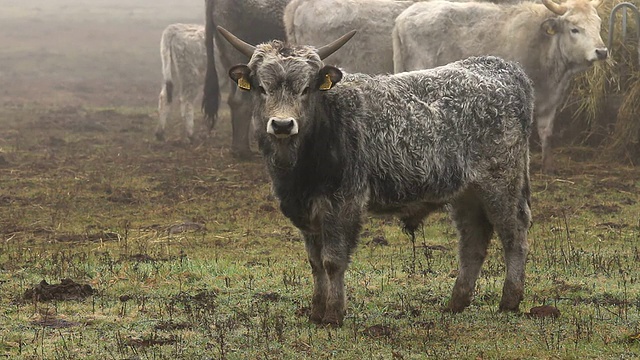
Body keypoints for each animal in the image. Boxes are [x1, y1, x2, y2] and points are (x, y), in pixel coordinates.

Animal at [219, 24, 536, 324]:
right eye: (262, 87)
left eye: (306, 88)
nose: (283, 124)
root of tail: (503, 67)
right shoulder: (307, 210)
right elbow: (315, 262)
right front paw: (316, 311)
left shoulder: (343, 203)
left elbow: (332, 260)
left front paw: (333, 314)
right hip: (466, 193)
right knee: (473, 241)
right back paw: (456, 302)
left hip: (501, 183)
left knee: (513, 234)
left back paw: (510, 300)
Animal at [392, 0, 608, 173]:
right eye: (575, 29)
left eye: (598, 25)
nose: (602, 51)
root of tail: (404, 16)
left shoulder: (550, 102)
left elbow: (546, 134)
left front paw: (548, 167)